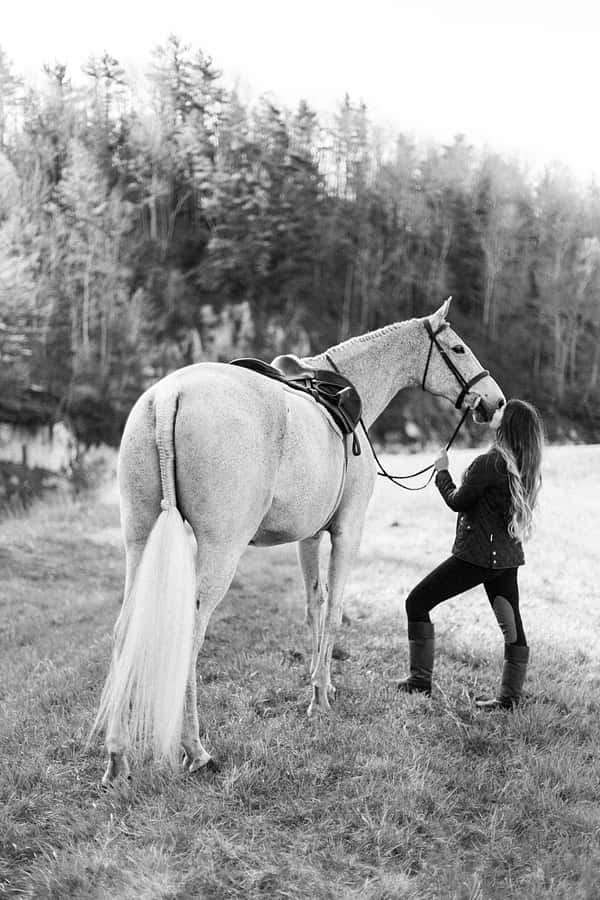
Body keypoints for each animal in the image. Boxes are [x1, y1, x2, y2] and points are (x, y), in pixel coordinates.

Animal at [93, 298, 505, 786]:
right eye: (458, 348)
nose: (494, 400)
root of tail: (170, 395)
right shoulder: (347, 532)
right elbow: (335, 610)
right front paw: (321, 697)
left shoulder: (308, 538)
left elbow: (314, 606)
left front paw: (318, 684)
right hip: (219, 550)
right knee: (189, 633)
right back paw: (195, 750)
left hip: (138, 540)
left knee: (126, 630)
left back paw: (117, 758)